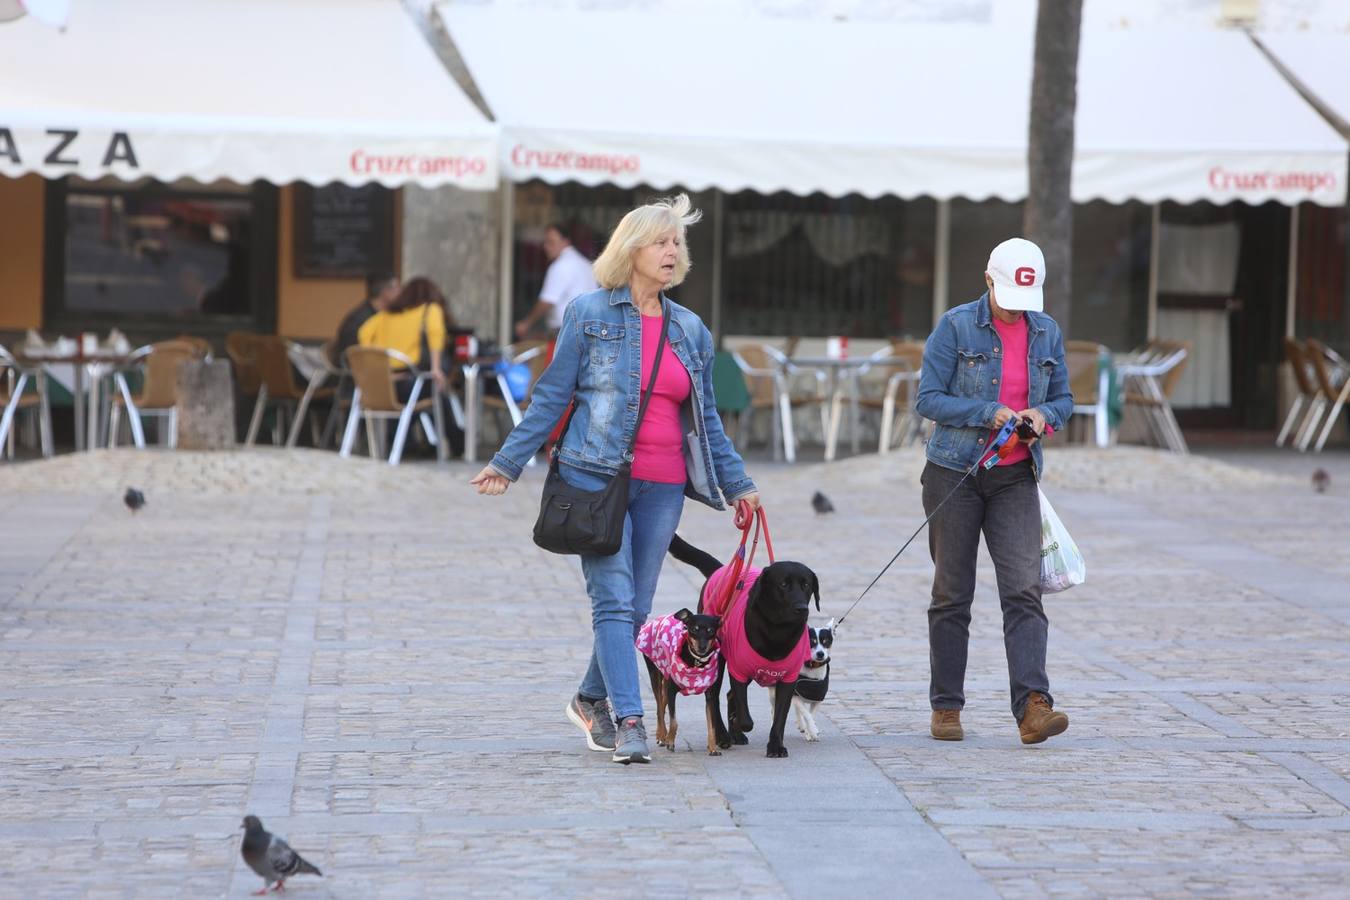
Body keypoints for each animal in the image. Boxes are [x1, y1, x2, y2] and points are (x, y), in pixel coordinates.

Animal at [669, 534, 815, 761]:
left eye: (806, 585)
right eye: (783, 584)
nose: (802, 608)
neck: (777, 632)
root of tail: (723, 569)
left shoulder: (788, 679)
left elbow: (779, 718)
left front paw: (776, 746)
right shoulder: (737, 671)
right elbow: (745, 716)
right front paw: (738, 723)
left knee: (729, 697)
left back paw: (735, 734)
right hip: (717, 659)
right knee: (714, 699)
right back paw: (723, 736)